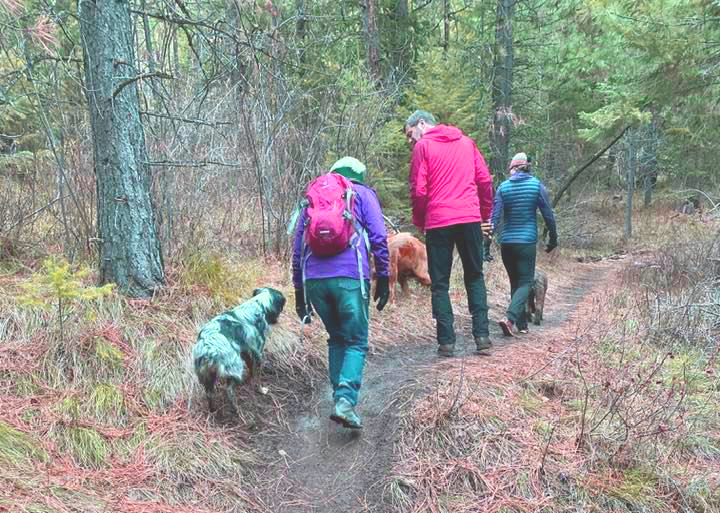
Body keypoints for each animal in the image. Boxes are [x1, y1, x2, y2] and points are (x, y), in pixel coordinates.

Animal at [193, 286, 286, 414]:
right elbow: (257, 377)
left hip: (208, 376)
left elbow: (252, 369)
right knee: (229, 391)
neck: (257, 306)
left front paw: (250, 379)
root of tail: (208, 347)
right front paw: (261, 390)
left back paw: (213, 411)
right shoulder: (258, 353)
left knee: (209, 394)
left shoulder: (245, 351)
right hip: (235, 367)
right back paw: (236, 410)